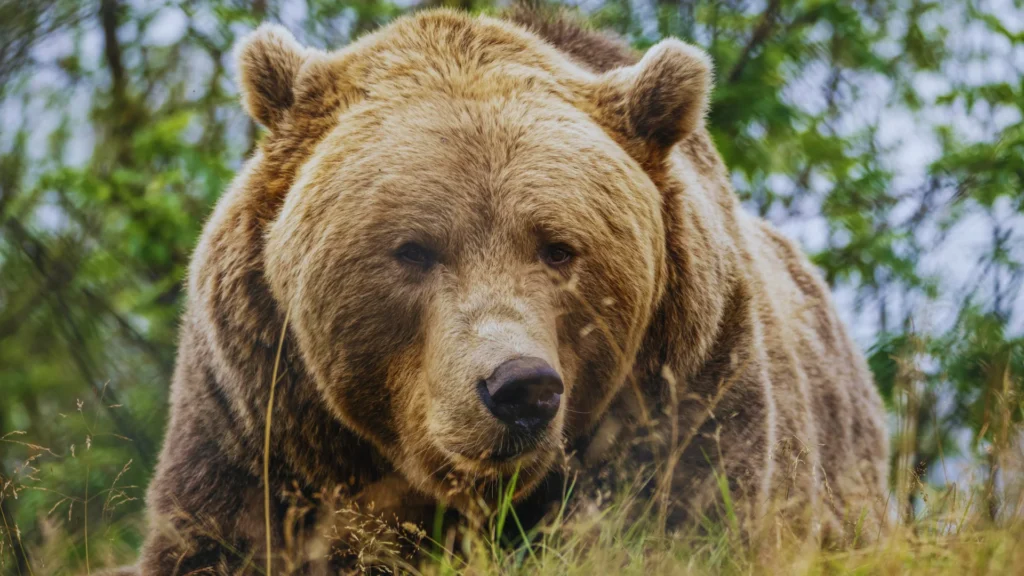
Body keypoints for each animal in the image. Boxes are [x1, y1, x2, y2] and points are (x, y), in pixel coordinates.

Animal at [132, 6, 889, 573]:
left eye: (559, 249)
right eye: (414, 249)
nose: (520, 387)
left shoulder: (690, 391)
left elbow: (683, 524)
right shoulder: (261, 428)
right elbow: (222, 542)